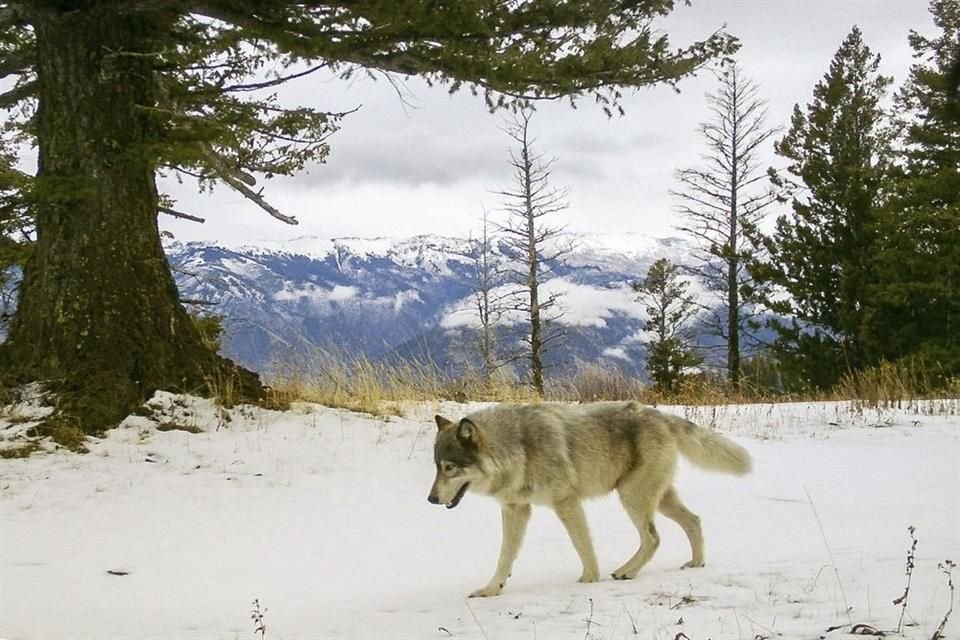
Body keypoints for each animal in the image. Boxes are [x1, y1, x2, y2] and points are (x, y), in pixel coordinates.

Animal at [428, 402, 752, 596]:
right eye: (436, 467)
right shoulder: (515, 509)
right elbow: (504, 555)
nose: (430, 499)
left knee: (653, 537)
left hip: (632, 497)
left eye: (450, 468)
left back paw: (626, 571)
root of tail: (659, 414)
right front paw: (491, 590)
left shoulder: (566, 502)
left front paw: (589, 580)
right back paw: (696, 563)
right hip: (658, 499)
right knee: (694, 521)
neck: (518, 449)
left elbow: (582, 545)